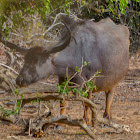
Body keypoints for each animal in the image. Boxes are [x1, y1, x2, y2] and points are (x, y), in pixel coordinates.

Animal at [0, 15, 130, 124]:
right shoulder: (62, 80)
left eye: (38, 61)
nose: (20, 80)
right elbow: (62, 101)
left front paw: (87, 120)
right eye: (26, 59)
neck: (78, 53)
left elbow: (86, 102)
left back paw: (107, 116)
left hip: (115, 81)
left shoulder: (90, 82)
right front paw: (61, 120)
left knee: (109, 96)